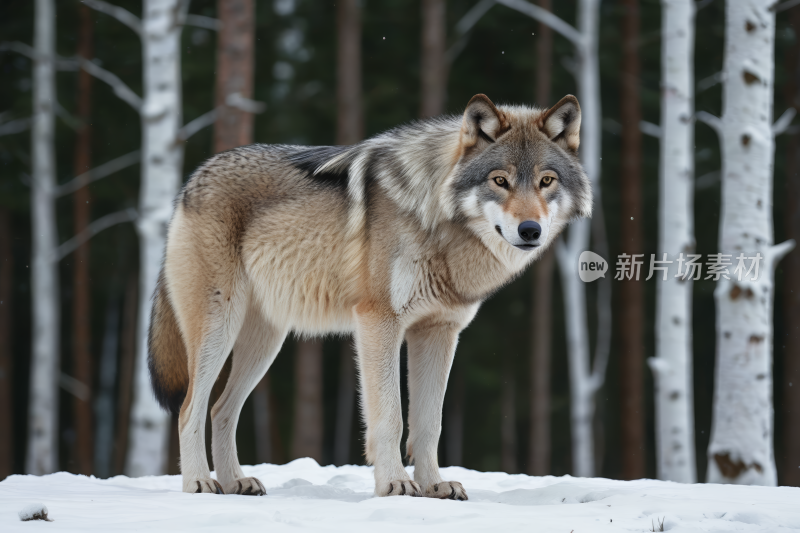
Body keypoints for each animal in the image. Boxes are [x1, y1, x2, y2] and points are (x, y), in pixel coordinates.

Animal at [148, 94, 588, 498]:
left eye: (546, 181)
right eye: (500, 181)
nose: (530, 230)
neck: (436, 222)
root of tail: (192, 180)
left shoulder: (440, 332)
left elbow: (429, 423)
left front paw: (435, 486)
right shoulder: (379, 322)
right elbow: (391, 417)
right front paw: (395, 484)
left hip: (265, 344)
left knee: (221, 409)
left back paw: (236, 481)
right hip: (220, 329)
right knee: (190, 409)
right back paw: (200, 483)